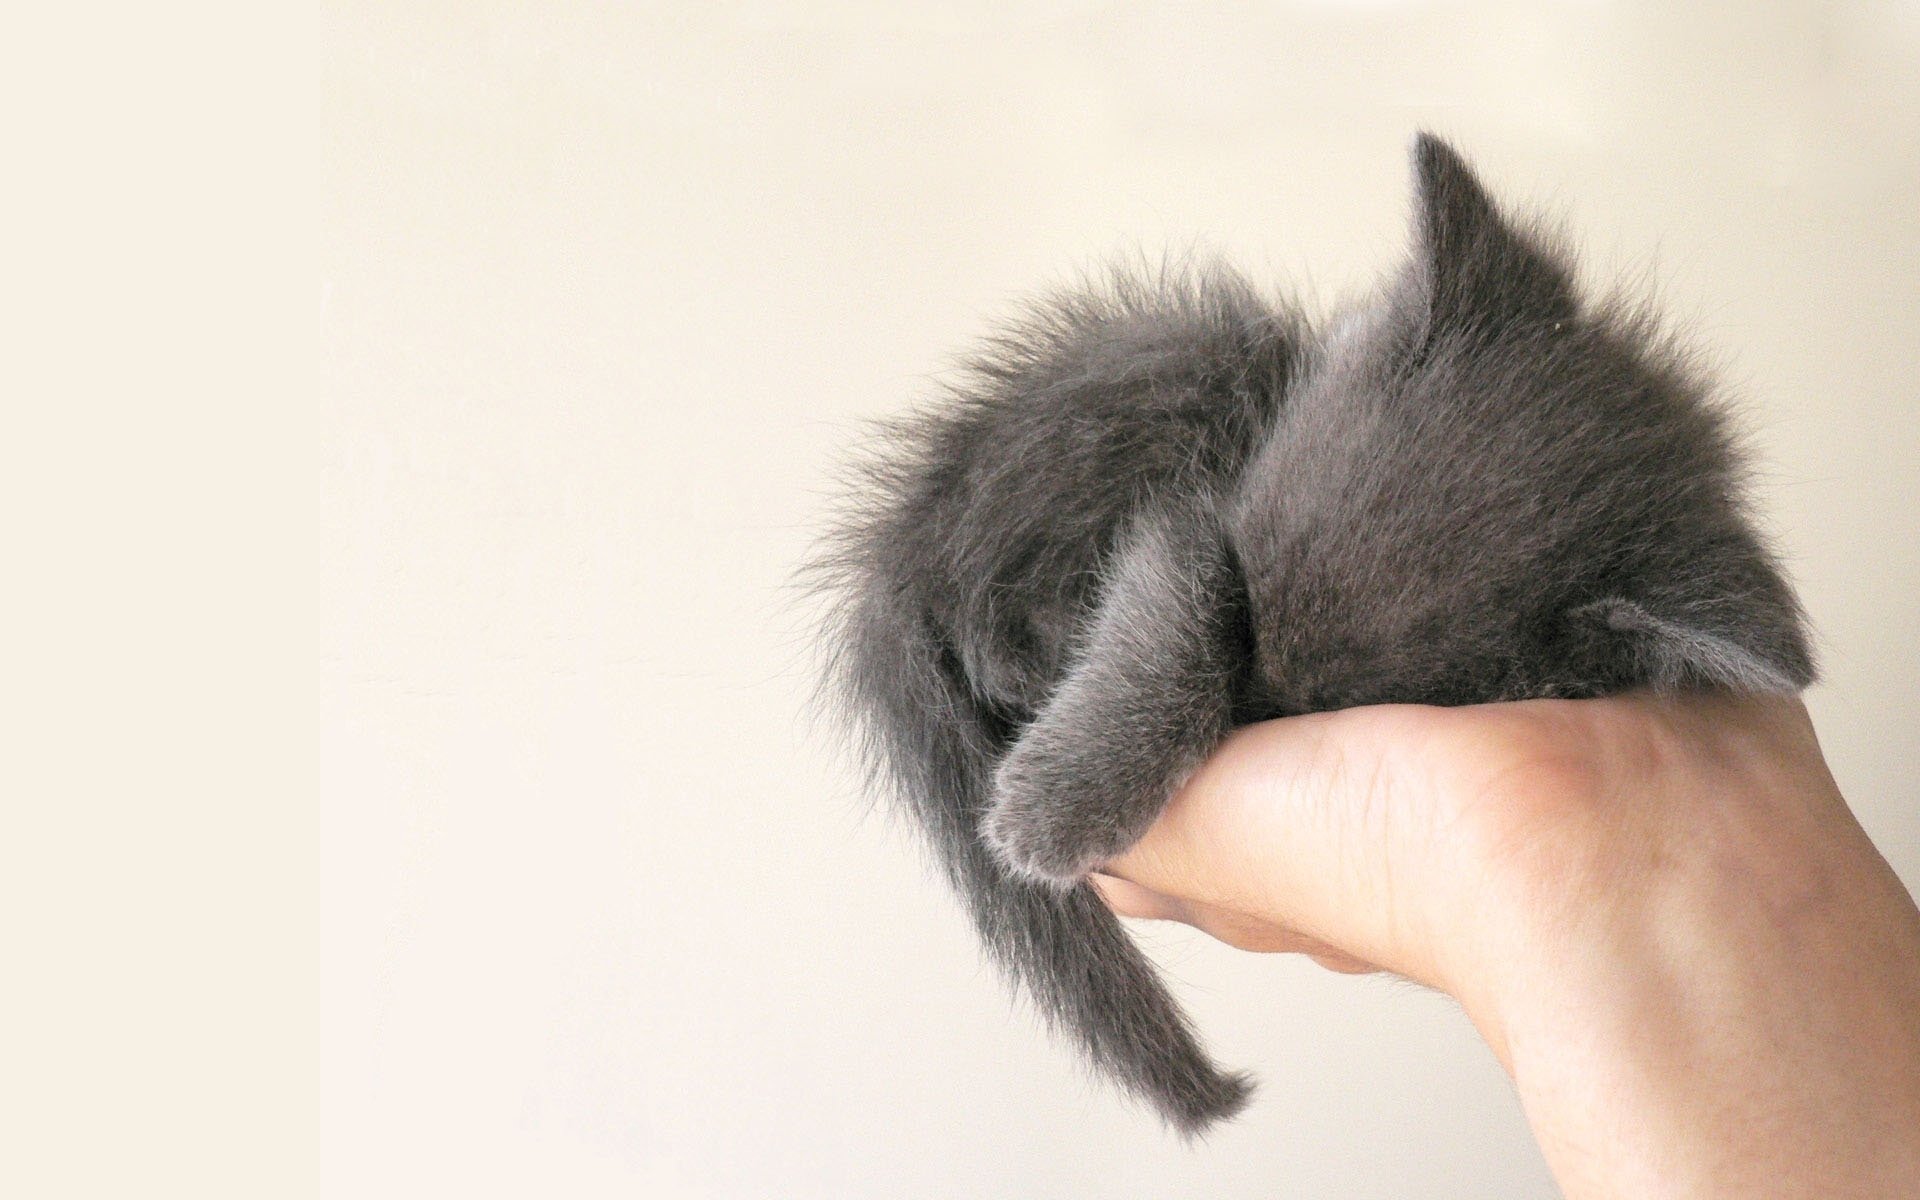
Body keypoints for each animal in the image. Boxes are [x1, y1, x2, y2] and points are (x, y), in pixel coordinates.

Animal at [810, 133, 1812, 1128]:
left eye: (1314, 706)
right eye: (1249, 597)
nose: (1252, 698)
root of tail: (900, 540)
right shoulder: (1197, 512)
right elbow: (1175, 603)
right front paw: (1061, 804)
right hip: (1189, 353)